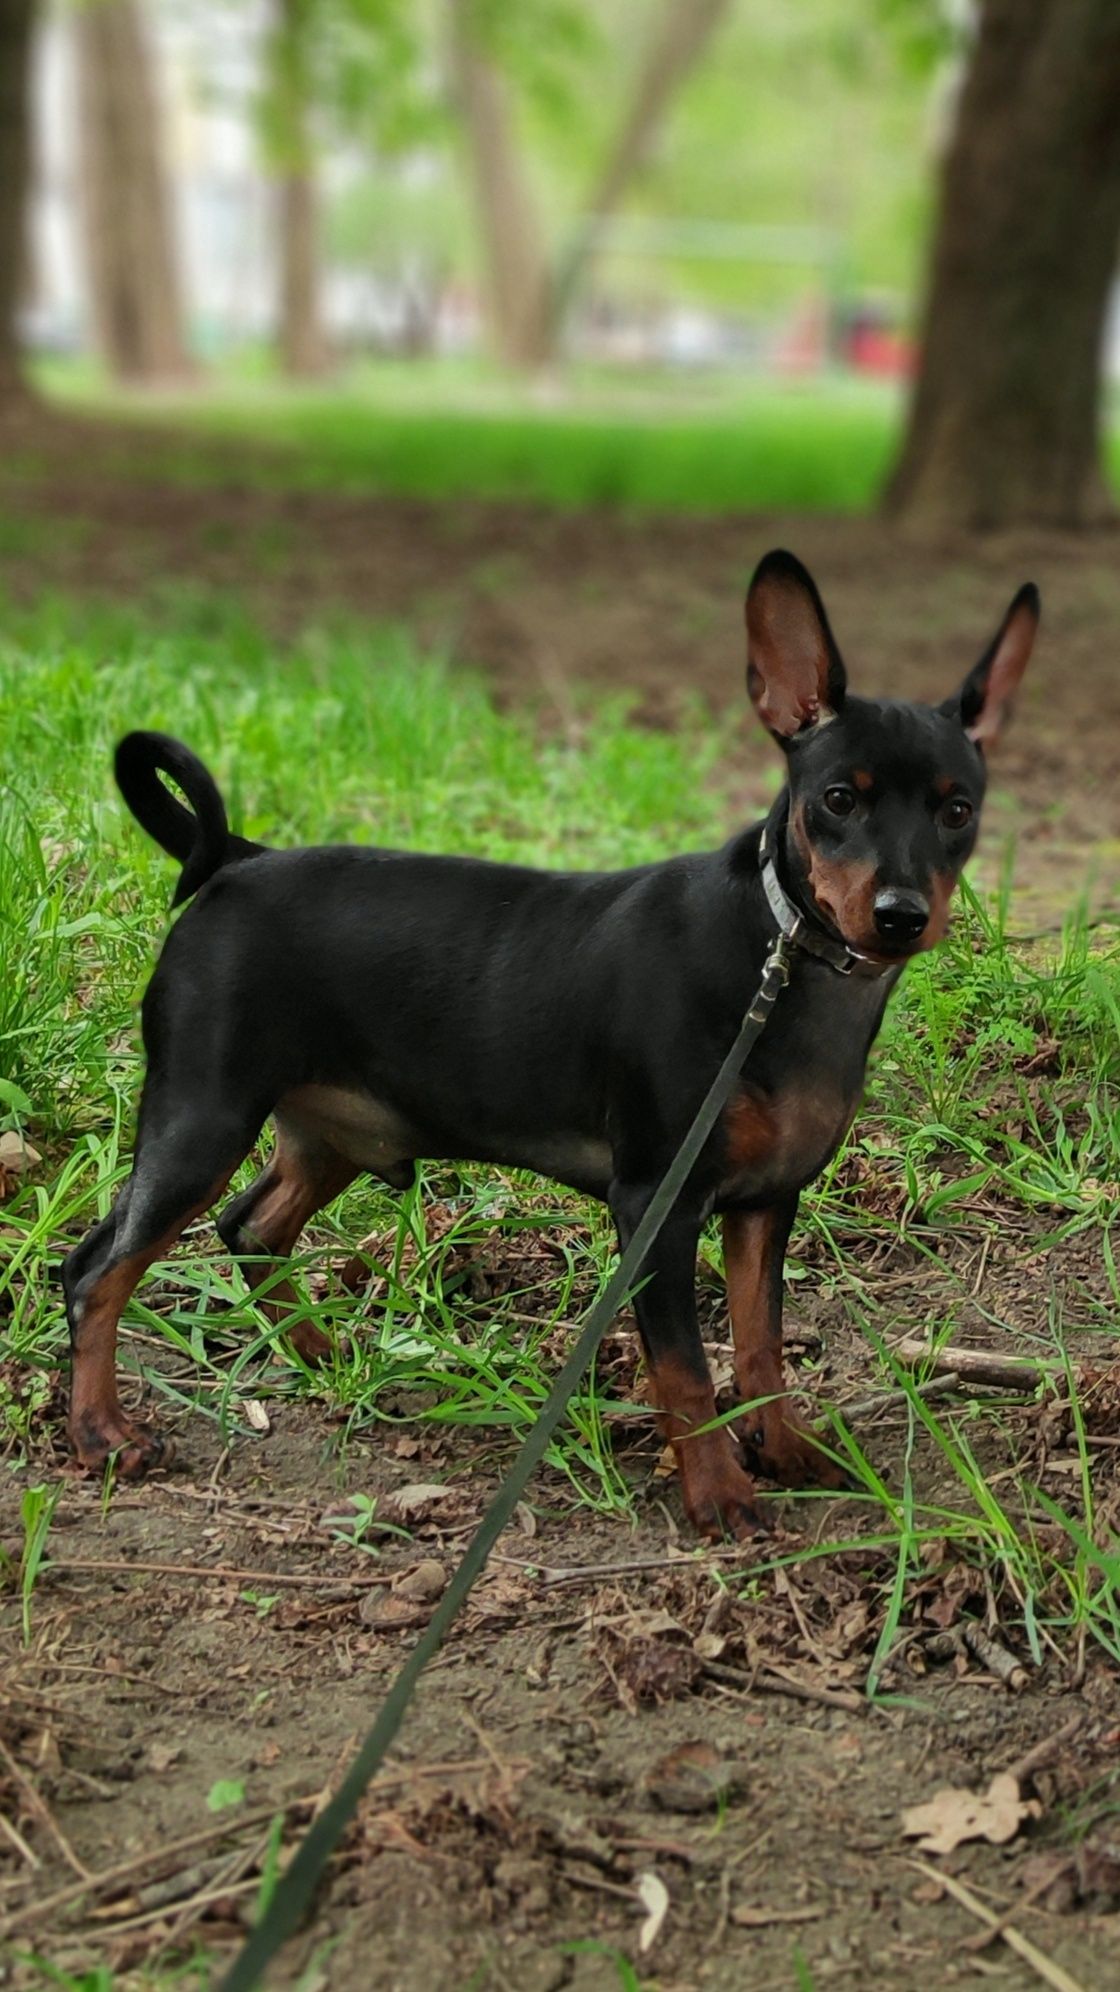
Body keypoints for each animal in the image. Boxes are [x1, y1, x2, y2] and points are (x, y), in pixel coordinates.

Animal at [61, 549, 1036, 1537]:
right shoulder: (657, 1207)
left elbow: (760, 1347)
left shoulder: (767, 1203)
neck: (783, 956)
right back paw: (103, 1432)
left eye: (958, 812)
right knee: (96, 1270)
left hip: (327, 1131)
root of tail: (238, 859)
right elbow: (685, 1370)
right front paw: (717, 1491)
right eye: (838, 800)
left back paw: (316, 1350)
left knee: (249, 1228)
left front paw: (782, 1446)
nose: (901, 914)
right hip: (202, 1117)